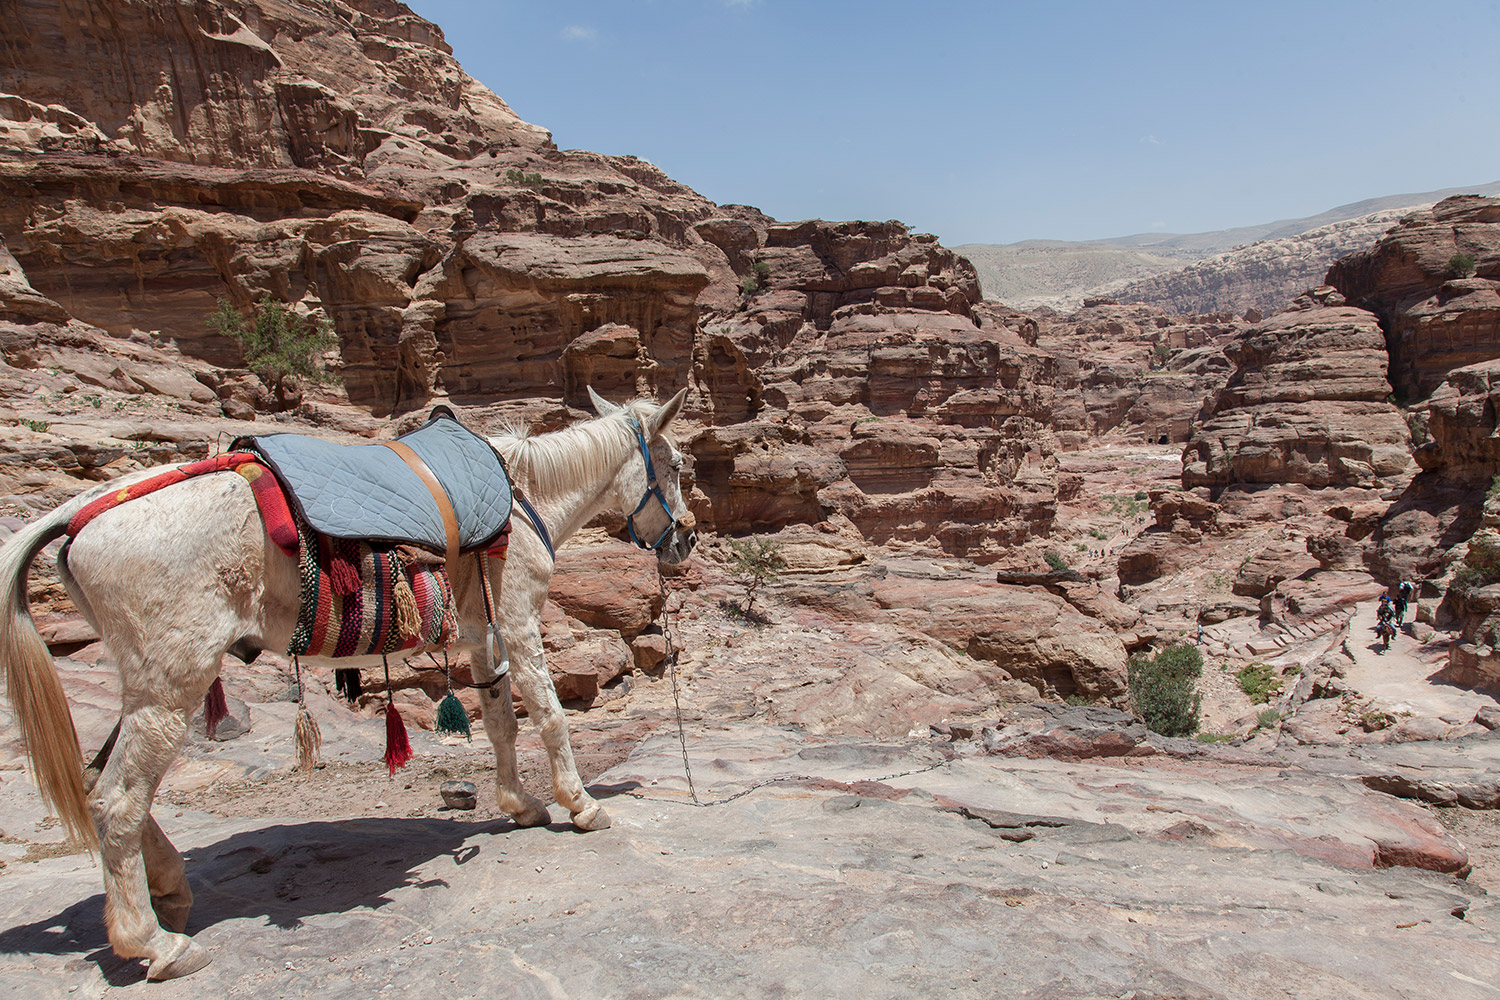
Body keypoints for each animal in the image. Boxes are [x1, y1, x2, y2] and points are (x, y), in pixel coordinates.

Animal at [0, 386, 693, 983]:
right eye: (676, 464)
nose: (685, 538)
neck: (521, 500)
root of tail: (79, 513)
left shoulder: (481, 637)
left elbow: (500, 722)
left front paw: (521, 805)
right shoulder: (518, 622)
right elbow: (549, 717)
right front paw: (583, 806)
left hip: (147, 683)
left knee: (100, 780)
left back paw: (170, 890)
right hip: (172, 682)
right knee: (117, 800)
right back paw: (156, 944)